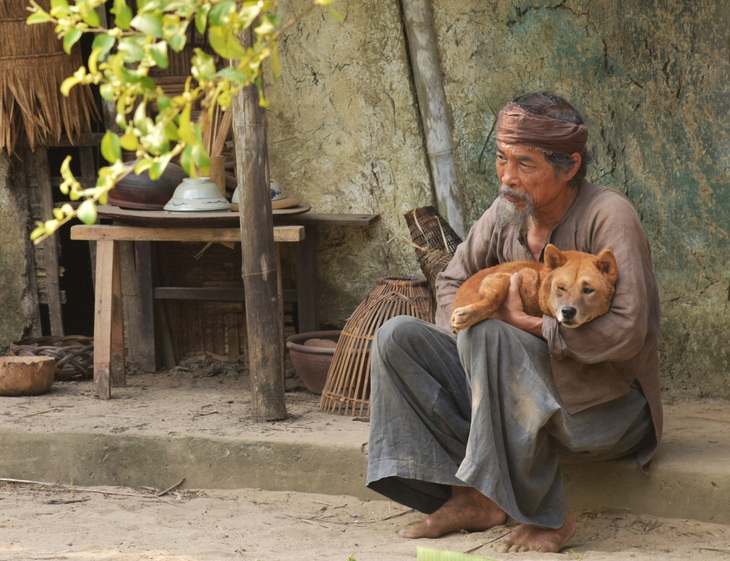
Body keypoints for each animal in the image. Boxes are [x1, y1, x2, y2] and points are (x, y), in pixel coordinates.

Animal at [450, 242, 616, 332]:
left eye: (587, 290)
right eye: (561, 287)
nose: (568, 311)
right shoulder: (501, 277)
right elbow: (494, 299)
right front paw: (469, 315)